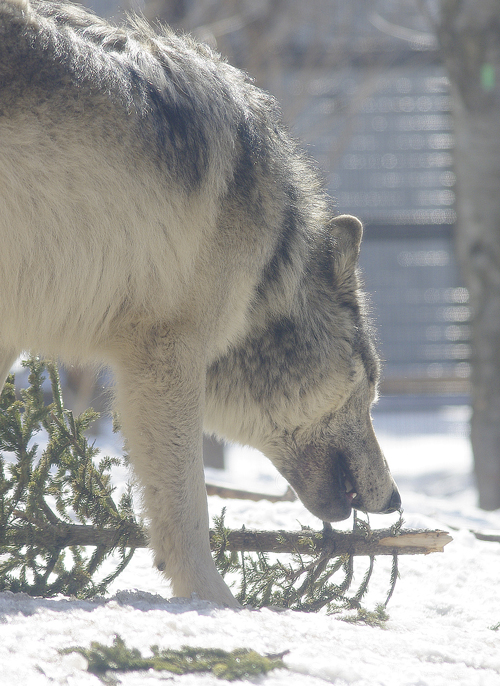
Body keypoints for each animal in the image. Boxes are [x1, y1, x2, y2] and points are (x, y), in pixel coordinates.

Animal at [0, 2, 398, 612]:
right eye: (369, 390)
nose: (398, 499)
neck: (268, 263)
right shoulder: (168, 351)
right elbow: (188, 510)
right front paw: (216, 606)